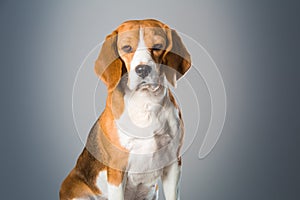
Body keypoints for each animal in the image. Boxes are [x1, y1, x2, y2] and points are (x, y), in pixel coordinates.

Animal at [60, 19, 191, 200]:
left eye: (157, 46)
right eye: (127, 48)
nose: (143, 69)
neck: (145, 104)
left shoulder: (173, 163)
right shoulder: (117, 171)